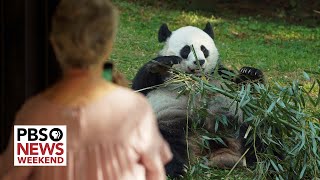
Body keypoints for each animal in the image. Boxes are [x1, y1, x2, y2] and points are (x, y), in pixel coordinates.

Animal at [131, 22, 264, 177]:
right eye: (186, 49)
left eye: (204, 49)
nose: (199, 61)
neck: (197, 81)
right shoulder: (158, 82)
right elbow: (140, 87)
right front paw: (161, 64)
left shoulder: (221, 75)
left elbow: (244, 88)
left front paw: (250, 74)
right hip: (171, 125)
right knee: (163, 145)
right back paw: (178, 169)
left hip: (241, 123)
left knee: (259, 135)